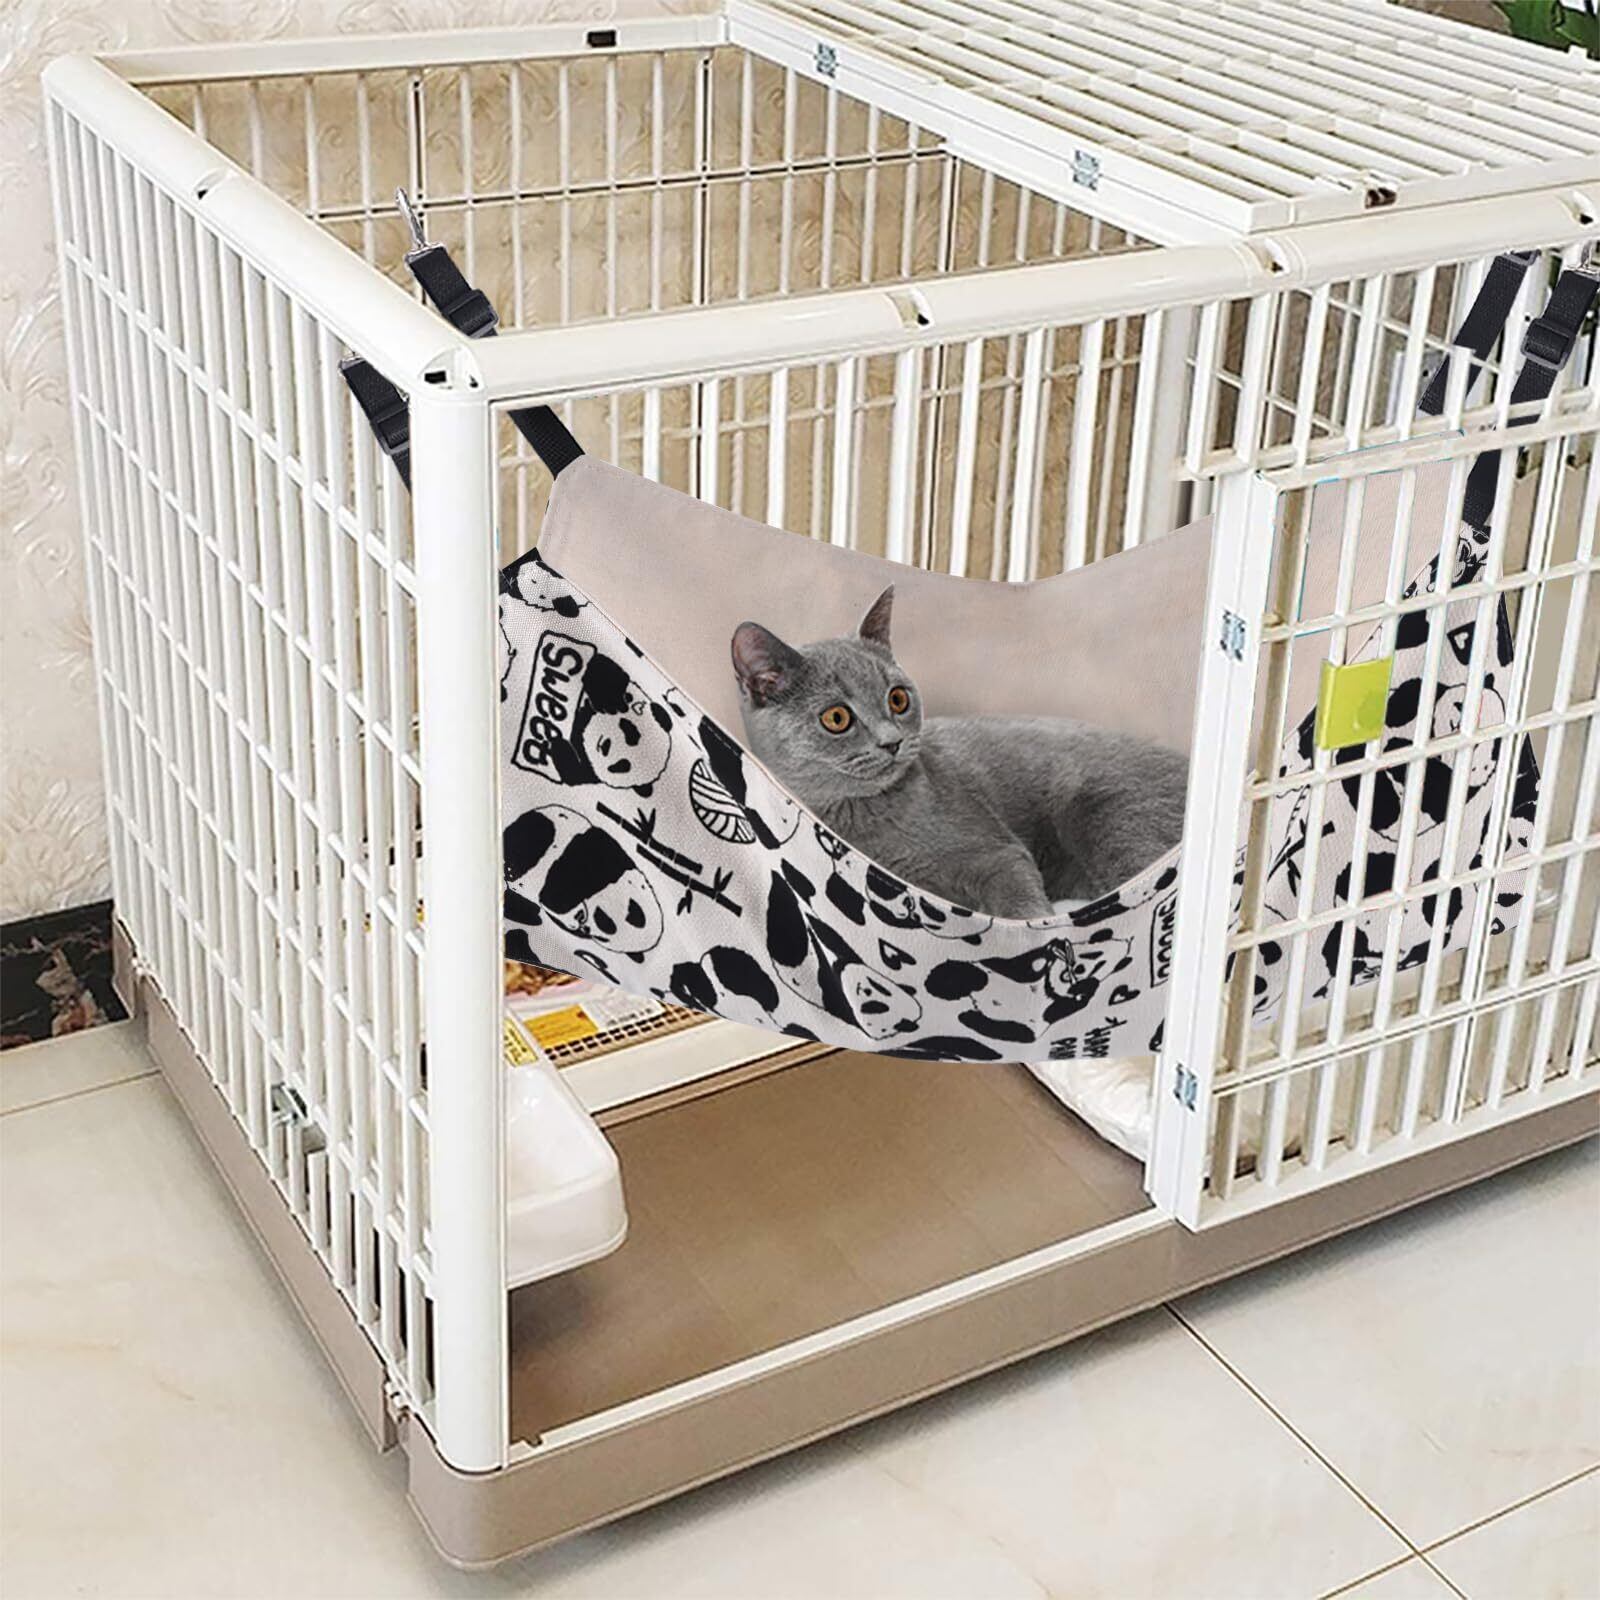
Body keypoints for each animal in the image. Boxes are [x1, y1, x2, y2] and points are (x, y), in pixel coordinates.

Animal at [730, 586, 1188, 920]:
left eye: (897, 698)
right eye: (837, 718)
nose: (892, 741)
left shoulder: (999, 853)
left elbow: (1019, 901)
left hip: (1110, 814)